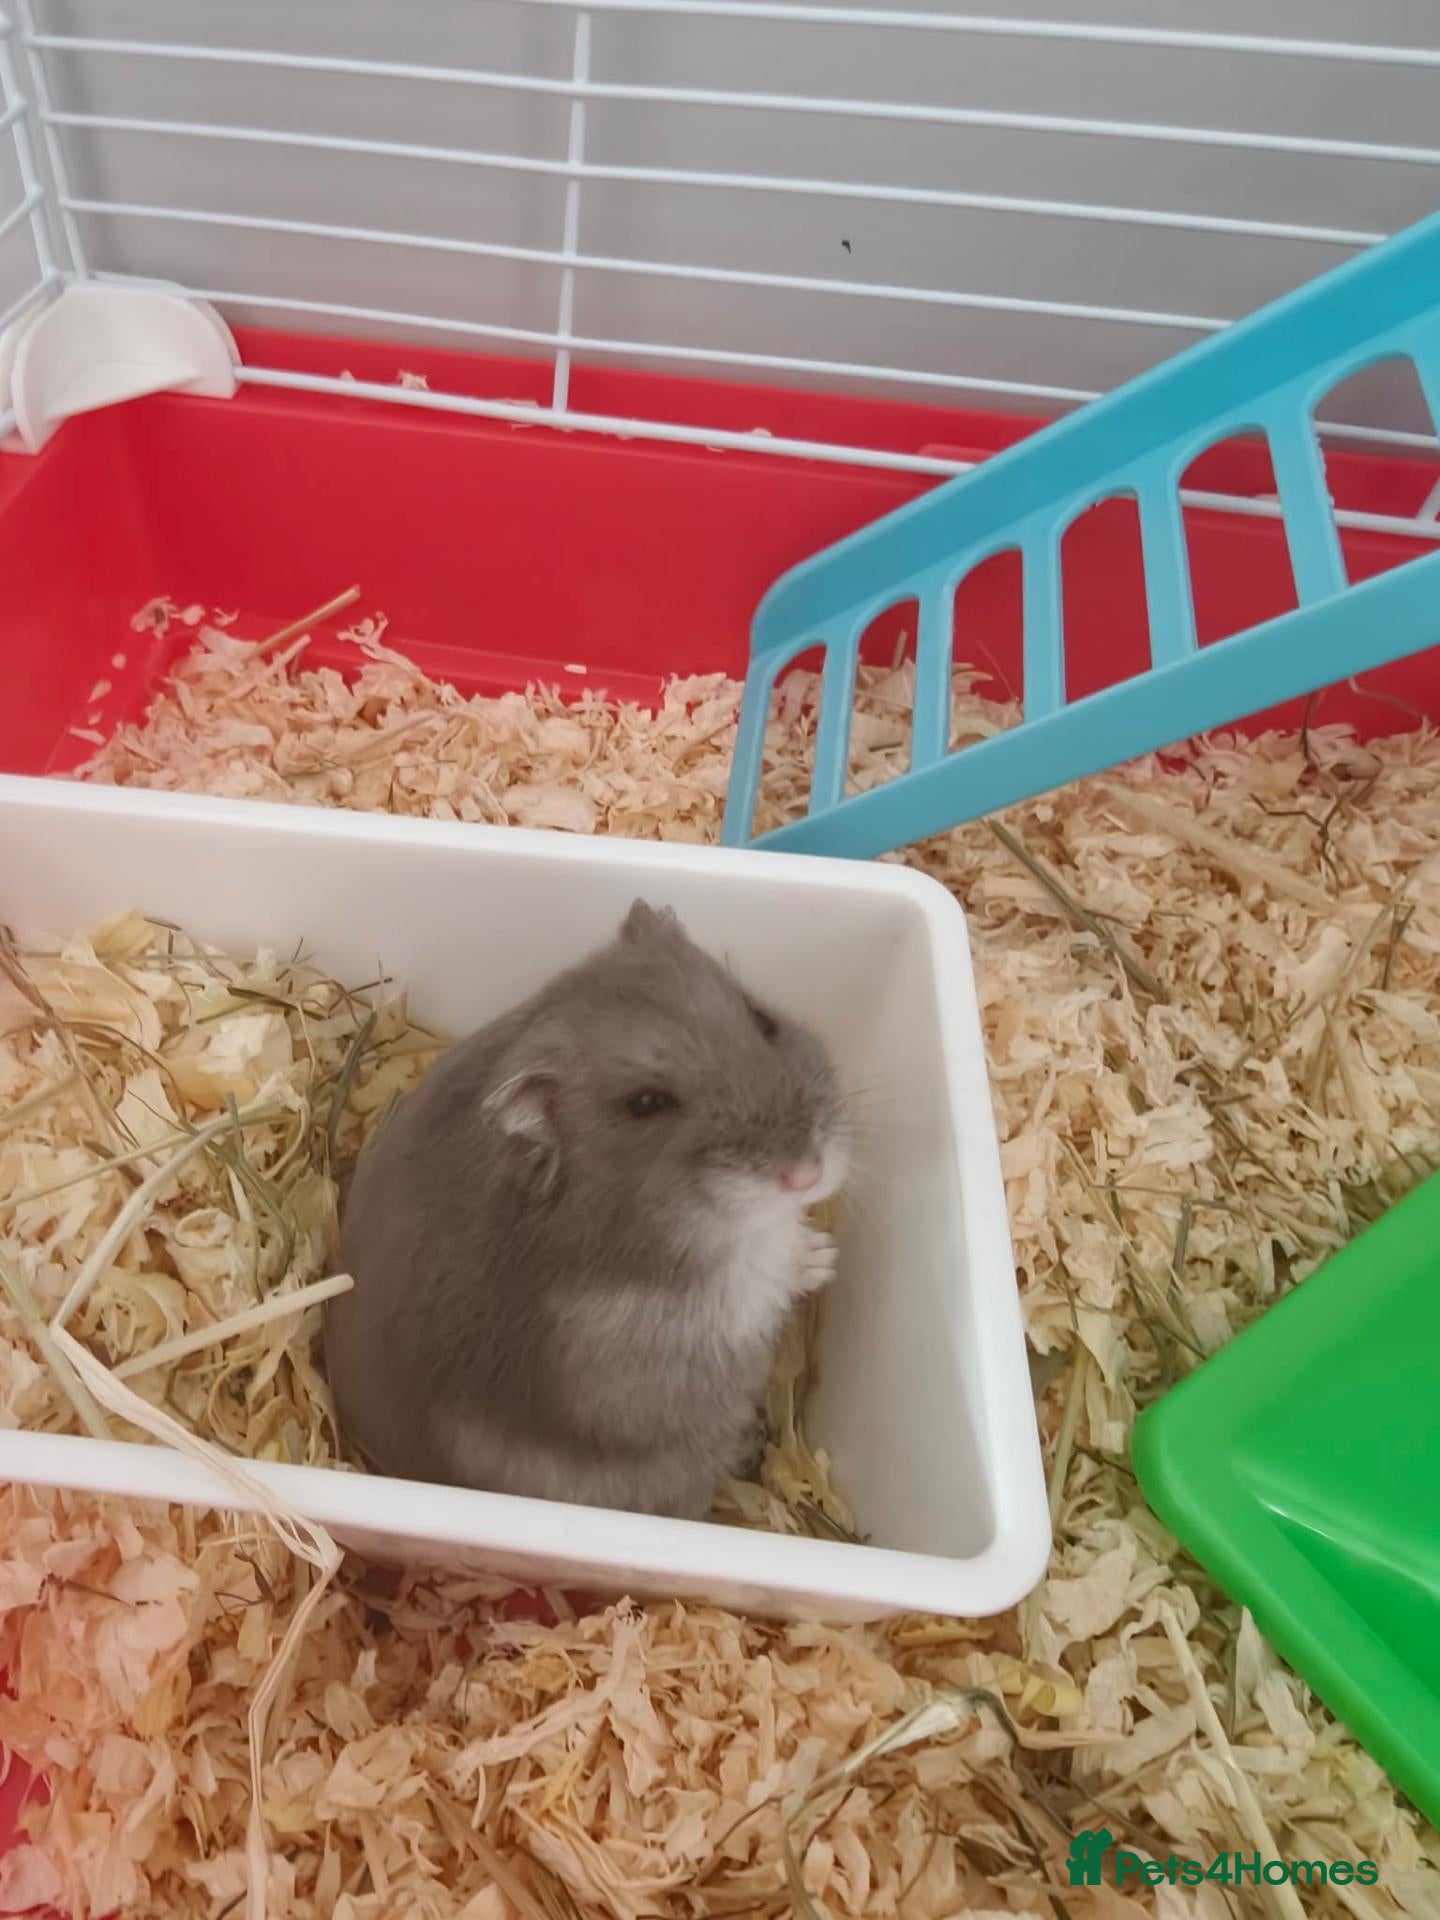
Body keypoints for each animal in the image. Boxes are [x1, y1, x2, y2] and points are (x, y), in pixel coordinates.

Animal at [325, 899, 848, 1520]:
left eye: (762, 1019)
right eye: (647, 1103)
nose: (807, 1175)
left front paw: (824, 1248)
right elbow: (768, 1273)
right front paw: (826, 1258)